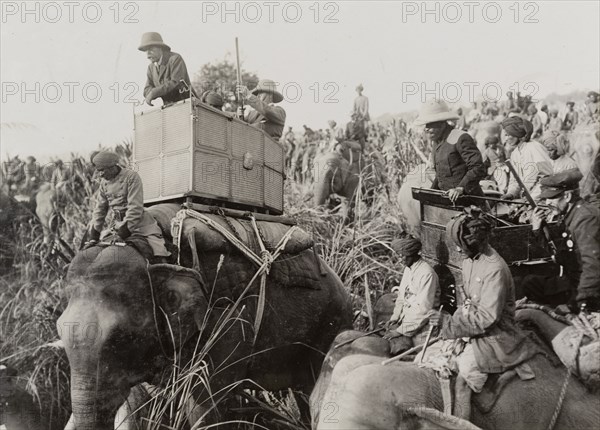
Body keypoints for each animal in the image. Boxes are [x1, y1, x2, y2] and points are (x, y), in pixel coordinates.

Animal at [56, 206, 352, 430]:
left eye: (122, 338)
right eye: (59, 333)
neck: (153, 254)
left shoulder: (225, 322)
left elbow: (205, 406)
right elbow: (138, 404)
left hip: (332, 323)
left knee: (309, 389)